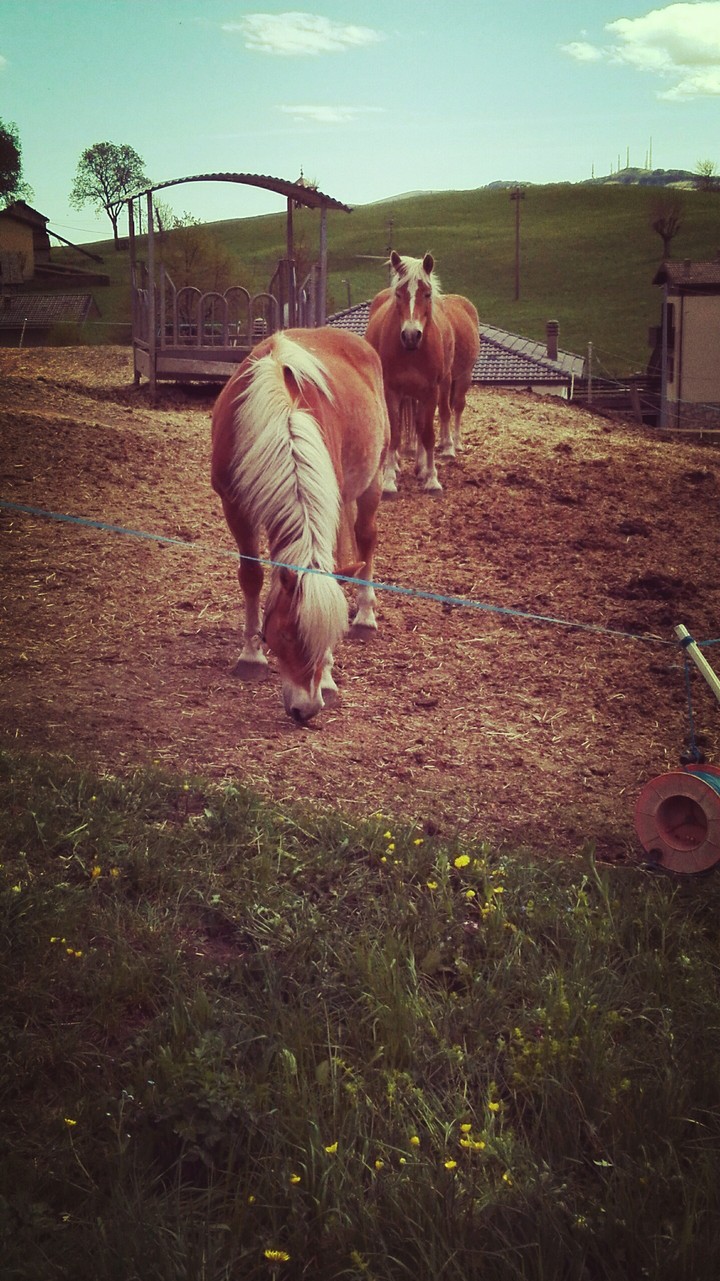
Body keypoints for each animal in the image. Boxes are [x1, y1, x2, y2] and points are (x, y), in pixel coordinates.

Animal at [211, 327, 390, 723]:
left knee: (366, 539)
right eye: (289, 636)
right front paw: (251, 657)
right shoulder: (235, 506)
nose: (306, 710)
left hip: (372, 479)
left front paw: (329, 678)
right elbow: (251, 576)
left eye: (329, 637)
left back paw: (365, 615)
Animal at [365, 251, 454, 497]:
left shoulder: (431, 391)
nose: (411, 335)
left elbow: (427, 433)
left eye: (427, 293)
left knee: (421, 425)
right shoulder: (392, 391)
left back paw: (421, 467)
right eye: (398, 294)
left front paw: (432, 479)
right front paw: (388, 480)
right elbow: (394, 433)